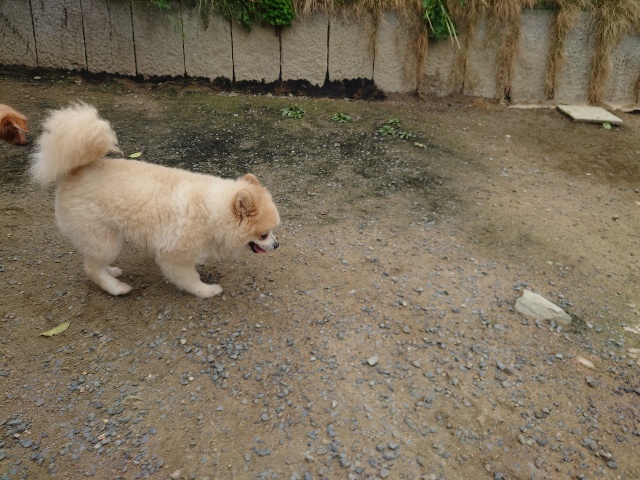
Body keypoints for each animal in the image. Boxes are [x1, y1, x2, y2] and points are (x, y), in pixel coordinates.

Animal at [30, 102, 280, 298]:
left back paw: (111, 271)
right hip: (105, 238)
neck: (212, 212)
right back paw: (116, 288)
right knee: (92, 268)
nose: (277, 244)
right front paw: (206, 291)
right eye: (263, 234)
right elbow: (189, 279)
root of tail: (76, 170)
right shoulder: (174, 256)